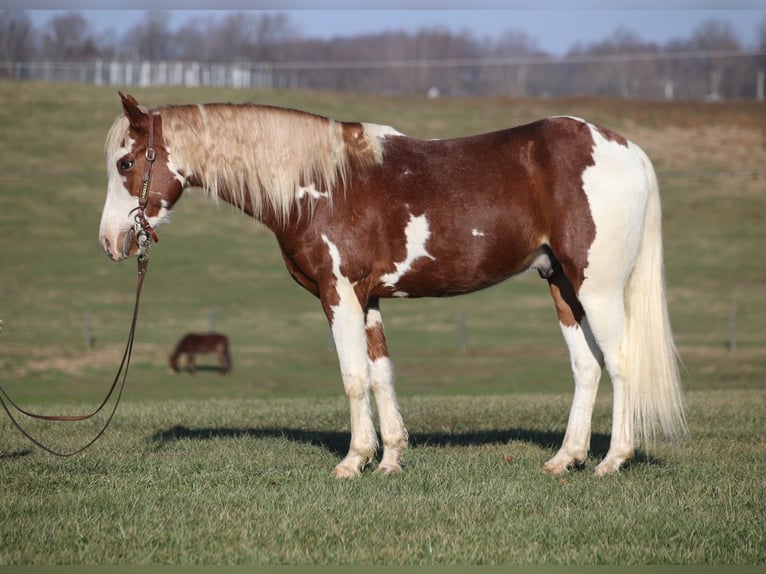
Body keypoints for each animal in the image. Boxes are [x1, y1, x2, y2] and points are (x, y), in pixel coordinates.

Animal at [99, 93, 686, 477]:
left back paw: (612, 461)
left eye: (126, 162)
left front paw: (354, 460)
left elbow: (354, 376)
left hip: (598, 287)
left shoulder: (338, 293)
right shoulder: (369, 298)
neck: (322, 184)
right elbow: (381, 375)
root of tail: (625, 149)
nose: (111, 241)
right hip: (562, 285)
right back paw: (566, 459)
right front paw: (392, 458)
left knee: (621, 362)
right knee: (586, 367)